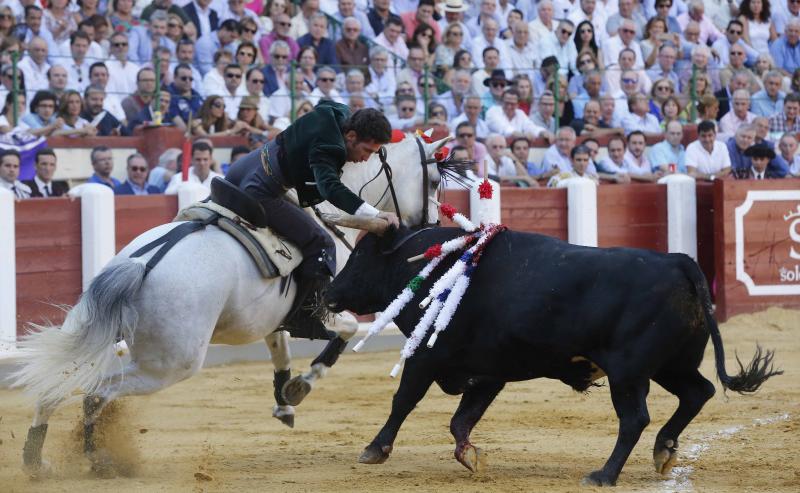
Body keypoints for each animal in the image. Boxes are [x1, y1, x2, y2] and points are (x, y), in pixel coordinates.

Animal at [12, 135, 454, 472]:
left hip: (89, 334)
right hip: (173, 363)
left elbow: (280, 351)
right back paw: (99, 460)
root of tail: (140, 265)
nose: (430, 226)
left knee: (54, 387)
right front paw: (301, 387)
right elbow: (342, 330)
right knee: (93, 394)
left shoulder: (271, 320)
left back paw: (36, 462)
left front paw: (285, 400)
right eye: (433, 179)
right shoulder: (328, 302)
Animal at [324, 227, 780, 484]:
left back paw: (603, 475)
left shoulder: (425, 356)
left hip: (628, 372)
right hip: (672, 364)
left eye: (359, 256)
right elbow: (462, 419)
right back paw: (663, 452)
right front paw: (472, 457)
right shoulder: (488, 374)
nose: (328, 292)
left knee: (635, 418)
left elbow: (404, 400)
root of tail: (677, 261)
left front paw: (374, 450)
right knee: (698, 392)